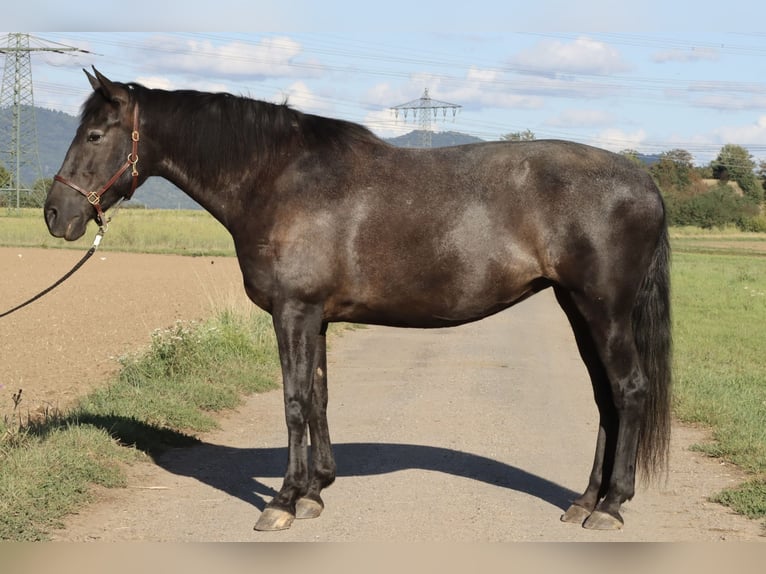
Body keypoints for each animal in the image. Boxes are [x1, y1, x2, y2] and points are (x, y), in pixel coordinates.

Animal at [45, 68, 671, 533]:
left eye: (95, 136)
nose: (56, 213)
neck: (278, 178)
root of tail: (643, 180)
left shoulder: (293, 312)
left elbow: (295, 402)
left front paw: (282, 502)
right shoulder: (316, 318)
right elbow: (319, 397)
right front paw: (315, 491)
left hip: (604, 310)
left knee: (629, 391)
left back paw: (611, 506)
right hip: (577, 308)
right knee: (606, 399)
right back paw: (585, 501)